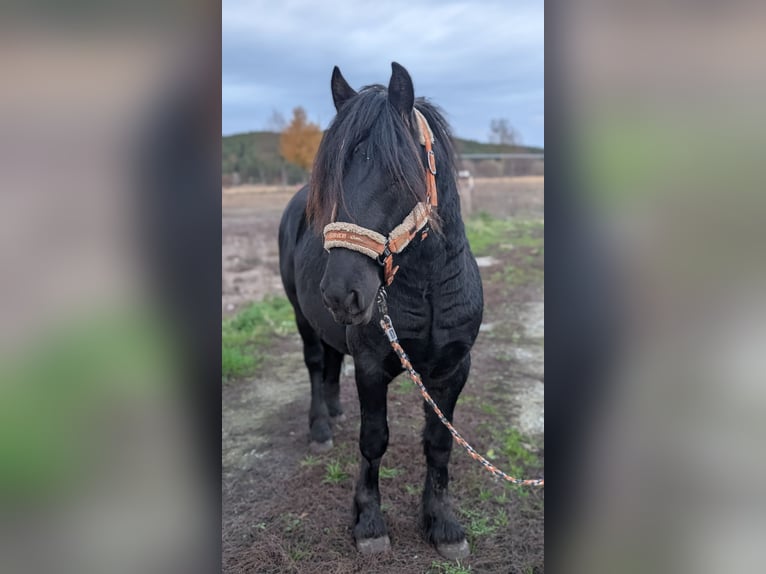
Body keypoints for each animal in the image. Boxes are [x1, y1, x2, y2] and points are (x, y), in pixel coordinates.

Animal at [280, 62, 484, 560]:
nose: (341, 292)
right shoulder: (372, 366)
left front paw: (442, 523)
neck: (427, 285)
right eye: (331, 177)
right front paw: (369, 522)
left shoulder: (453, 369)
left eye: (398, 174)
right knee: (315, 364)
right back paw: (321, 428)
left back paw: (335, 411)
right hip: (302, 317)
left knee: (332, 361)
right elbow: (373, 440)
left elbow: (439, 443)